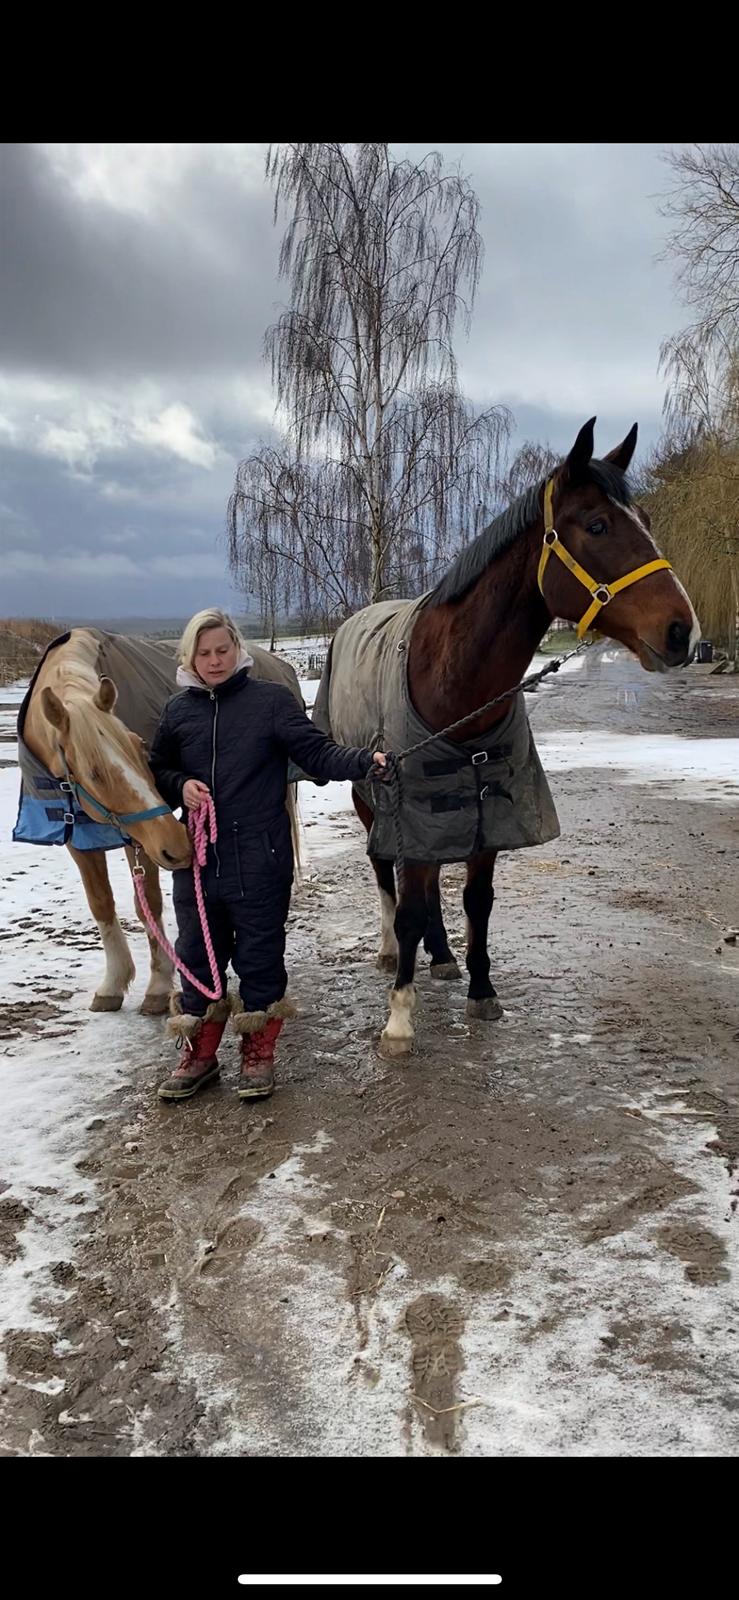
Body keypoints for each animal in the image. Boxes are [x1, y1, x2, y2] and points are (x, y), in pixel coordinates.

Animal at [19, 624, 302, 1011]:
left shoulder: (142, 839)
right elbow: (101, 903)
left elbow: (147, 904)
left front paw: (157, 987)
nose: (179, 846)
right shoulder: (78, 840)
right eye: (93, 773)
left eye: (141, 747)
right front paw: (112, 984)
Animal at [315, 419, 700, 1056]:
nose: (681, 632)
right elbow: (410, 905)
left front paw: (481, 989)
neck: (455, 685)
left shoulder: (488, 809)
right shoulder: (412, 804)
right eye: (597, 525)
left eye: (644, 517)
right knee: (387, 878)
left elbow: (476, 900)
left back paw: (441, 957)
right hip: (372, 801)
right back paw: (394, 951)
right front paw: (399, 1019)